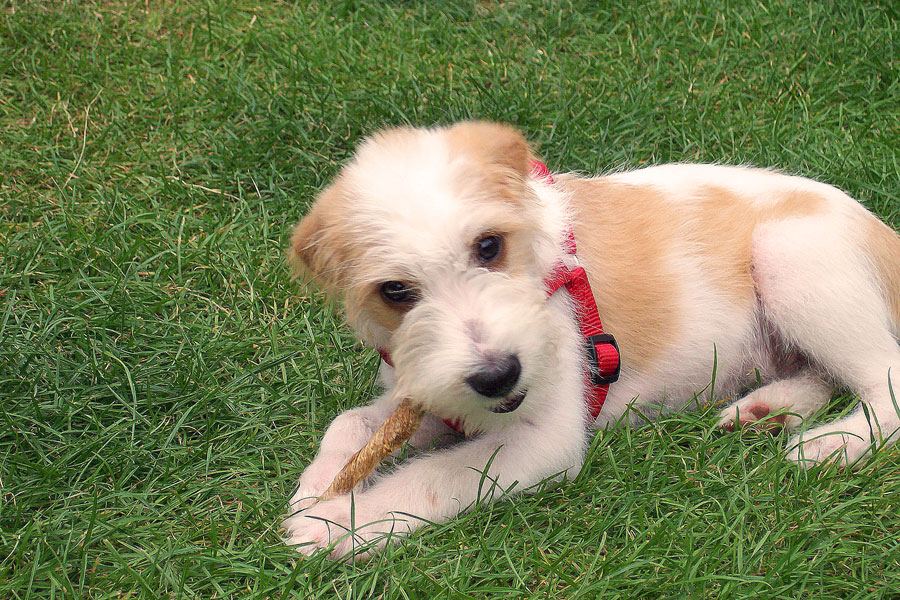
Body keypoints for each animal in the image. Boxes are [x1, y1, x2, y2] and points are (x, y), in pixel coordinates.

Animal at [282, 121, 900, 559]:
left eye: (489, 247)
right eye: (395, 291)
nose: (500, 376)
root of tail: (886, 233)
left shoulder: (544, 439)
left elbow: (434, 476)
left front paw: (335, 525)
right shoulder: (436, 395)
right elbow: (350, 424)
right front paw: (316, 490)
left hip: (789, 256)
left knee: (886, 381)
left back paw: (830, 446)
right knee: (825, 374)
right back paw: (769, 412)